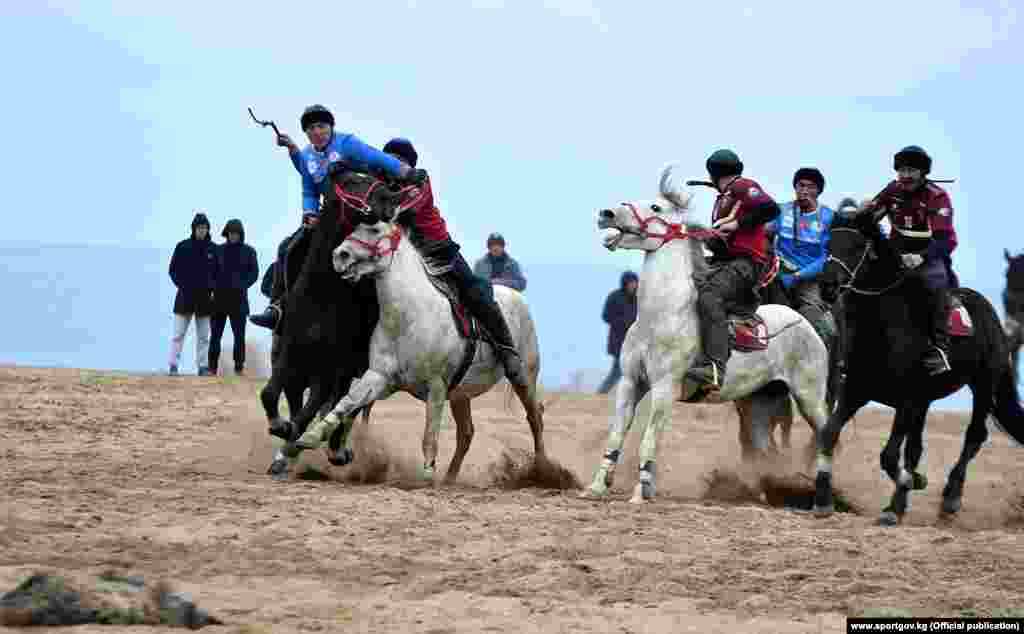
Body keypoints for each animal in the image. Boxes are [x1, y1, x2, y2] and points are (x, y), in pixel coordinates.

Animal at [262, 168, 393, 475]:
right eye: (352, 181)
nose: (390, 198)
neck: (323, 295)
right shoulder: (291, 353)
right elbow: (271, 394)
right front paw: (280, 427)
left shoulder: (330, 368)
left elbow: (313, 410)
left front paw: (288, 450)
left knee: (349, 407)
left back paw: (335, 450)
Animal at [292, 183, 557, 485]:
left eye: (374, 229)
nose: (340, 255)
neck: (406, 317)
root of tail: (515, 295)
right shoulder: (379, 376)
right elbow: (347, 403)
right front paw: (310, 437)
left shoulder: (436, 385)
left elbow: (429, 435)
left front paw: (427, 474)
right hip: (461, 394)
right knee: (467, 433)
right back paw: (450, 478)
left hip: (524, 376)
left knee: (535, 416)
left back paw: (543, 469)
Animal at [581, 164, 827, 505]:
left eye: (656, 207)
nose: (607, 213)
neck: (660, 316)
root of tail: (805, 324)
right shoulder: (631, 383)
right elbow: (617, 434)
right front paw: (596, 486)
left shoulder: (664, 388)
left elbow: (649, 440)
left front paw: (641, 492)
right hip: (758, 401)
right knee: (763, 447)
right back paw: (762, 491)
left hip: (809, 395)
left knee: (826, 435)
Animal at [811, 210, 1019, 524]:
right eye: (829, 243)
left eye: (858, 246)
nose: (828, 286)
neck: (883, 329)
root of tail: (991, 315)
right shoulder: (856, 392)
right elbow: (829, 434)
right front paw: (823, 499)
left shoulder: (907, 400)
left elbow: (889, 455)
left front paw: (900, 498)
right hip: (926, 401)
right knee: (917, 448)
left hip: (983, 386)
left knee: (974, 436)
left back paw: (951, 497)